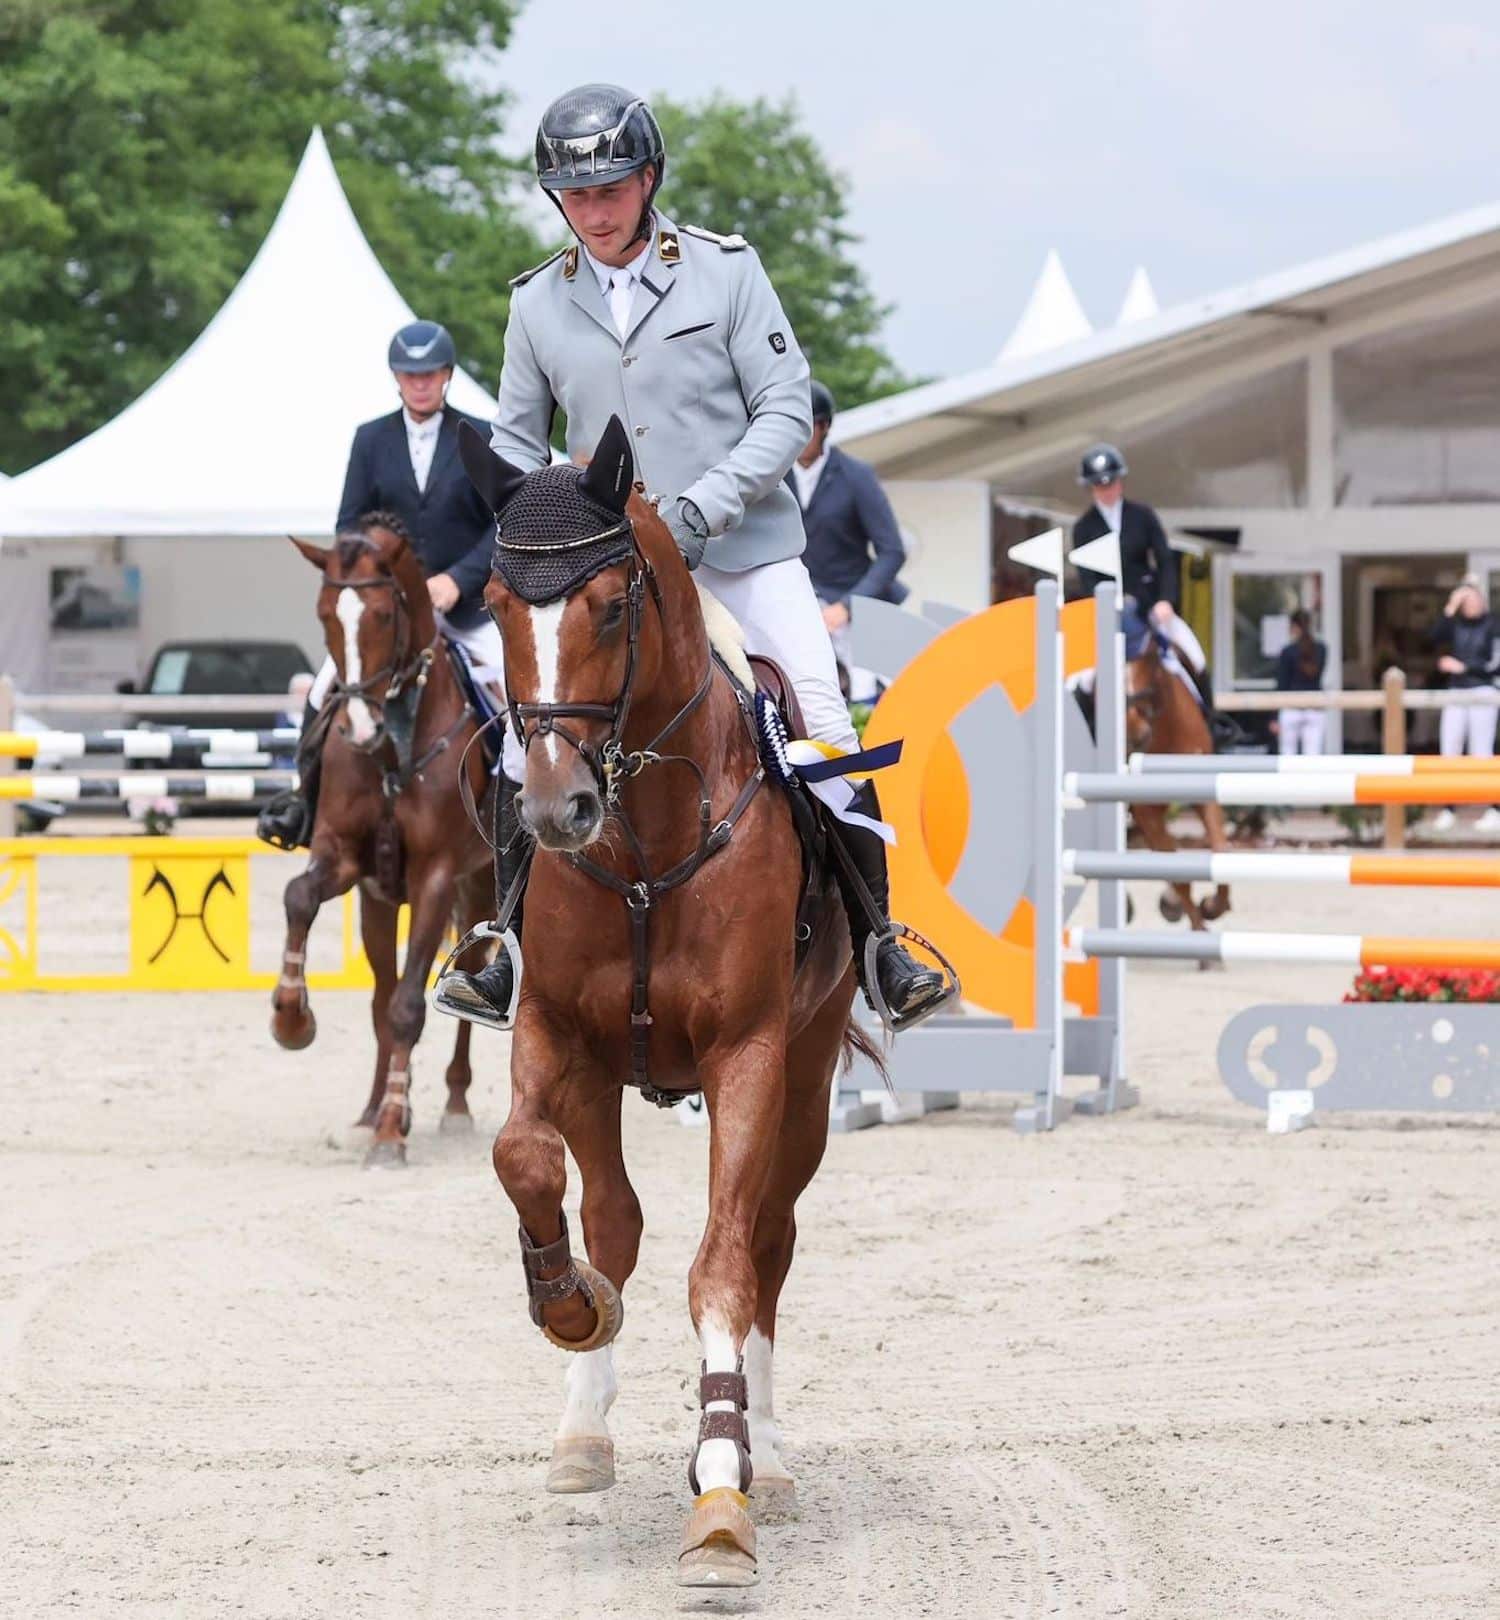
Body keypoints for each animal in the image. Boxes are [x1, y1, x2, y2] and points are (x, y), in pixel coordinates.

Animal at [273, 518, 495, 1166]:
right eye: (325, 613)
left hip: (481, 882)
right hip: (378, 902)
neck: (395, 745)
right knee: (380, 993)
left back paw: (453, 1104)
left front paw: (394, 1131)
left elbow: (408, 1007)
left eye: (381, 615)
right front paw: (292, 1020)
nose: (357, 730)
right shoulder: (346, 861)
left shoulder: (436, 880)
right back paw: (372, 1110)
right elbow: (299, 898)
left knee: (465, 977)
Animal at [463, 421, 874, 1594]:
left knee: (771, 1238)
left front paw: (723, 1491)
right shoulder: (558, 1034)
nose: (558, 811)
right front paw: (566, 1306)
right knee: (614, 1214)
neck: (645, 836)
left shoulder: (750, 1056)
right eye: (497, 605)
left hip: (807, 1081)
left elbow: (726, 1266)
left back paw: (766, 1458)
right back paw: (583, 1424)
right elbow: (526, 1161)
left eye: (611, 605)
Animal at [1127, 631, 1231, 939]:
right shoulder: (1146, 810)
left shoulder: (1204, 794)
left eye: (1152, 667)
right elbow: (1176, 871)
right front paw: (1199, 928)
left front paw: (1211, 906)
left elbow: (1220, 850)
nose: (1134, 735)